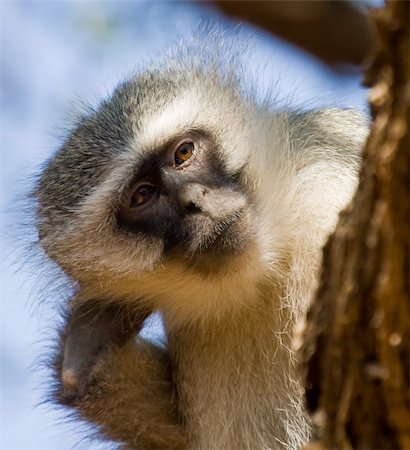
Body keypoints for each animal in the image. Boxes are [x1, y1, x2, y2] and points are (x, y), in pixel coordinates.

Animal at [35, 41, 366, 446]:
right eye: (141, 196)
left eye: (183, 153)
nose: (194, 201)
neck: (266, 268)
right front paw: (87, 344)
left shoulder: (326, 189)